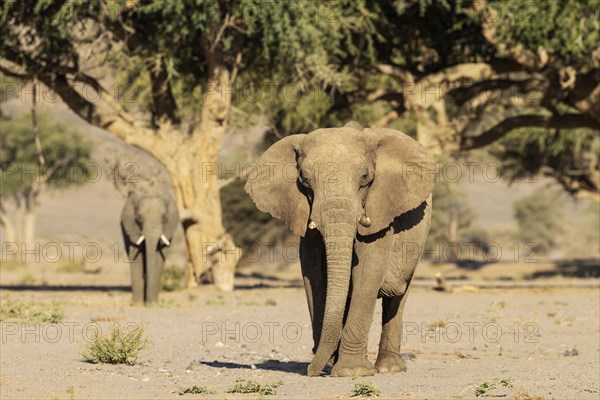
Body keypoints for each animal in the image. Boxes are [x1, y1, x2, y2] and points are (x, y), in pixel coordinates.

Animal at [246, 122, 434, 378]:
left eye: (365, 177)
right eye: (305, 179)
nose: (310, 371)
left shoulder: (380, 213)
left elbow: (366, 275)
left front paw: (352, 372)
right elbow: (315, 278)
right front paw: (330, 362)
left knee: (397, 295)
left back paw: (389, 367)